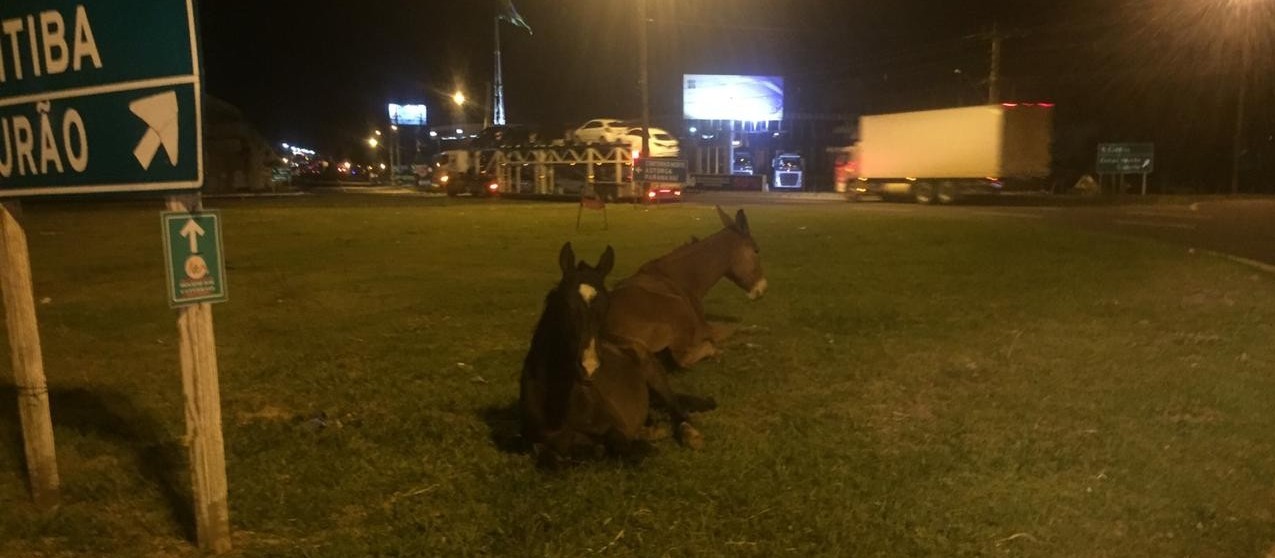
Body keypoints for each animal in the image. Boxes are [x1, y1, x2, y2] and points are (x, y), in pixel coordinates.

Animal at [517, 244, 719, 466]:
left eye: (607, 305)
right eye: (566, 305)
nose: (589, 367)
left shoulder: (615, 429)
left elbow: (622, 448)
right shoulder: (535, 443)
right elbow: (549, 458)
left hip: (655, 375)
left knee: (676, 409)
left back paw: (689, 434)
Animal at [599, 207, 759, 369]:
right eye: (756, 251)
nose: (762, 288)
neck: (685, 279)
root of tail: (606, 331)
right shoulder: (706, 329)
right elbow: (734, 329)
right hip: (678, 308)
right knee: (683, 359)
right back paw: (716, 351)